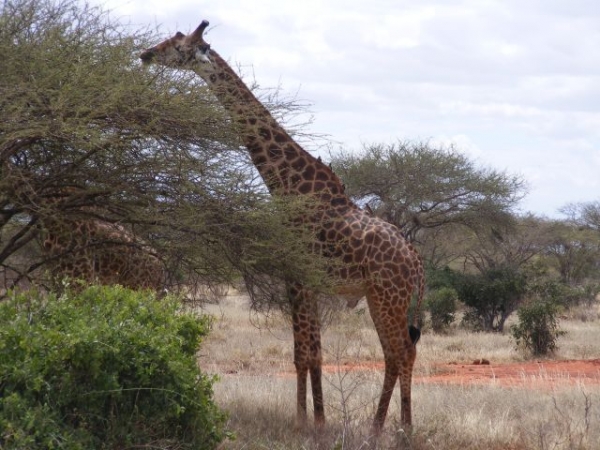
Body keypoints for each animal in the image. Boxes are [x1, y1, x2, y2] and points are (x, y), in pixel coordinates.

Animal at [141, 20, 424, 428]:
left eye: (176, 47)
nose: (145, 54)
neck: (286, 185)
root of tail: (416, 262)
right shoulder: (301, 278)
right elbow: (304, 351)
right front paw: (307, 418)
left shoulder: (299, 277)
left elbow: (309, 353)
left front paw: (313, 424)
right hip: (379, 297)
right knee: (397, 352)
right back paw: (390, 426)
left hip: (388, 296)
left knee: (402, 351)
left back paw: (391, 428)